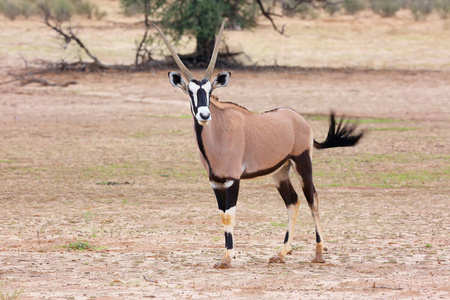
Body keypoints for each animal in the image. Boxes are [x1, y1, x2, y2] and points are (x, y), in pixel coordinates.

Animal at [153, 21, 364, 270]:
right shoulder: (216, 182)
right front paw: (225, 256)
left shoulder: (233, 179)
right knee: (293, 201)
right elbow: (222, 214)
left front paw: (227, 258)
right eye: (190, 93)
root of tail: (298, 118)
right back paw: (281, 254)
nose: (204, 115)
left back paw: (319, 253)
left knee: (313, 199)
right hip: (280, 172)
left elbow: (229, 214)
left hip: (302, 163)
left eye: (210, 91)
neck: (217, 135)